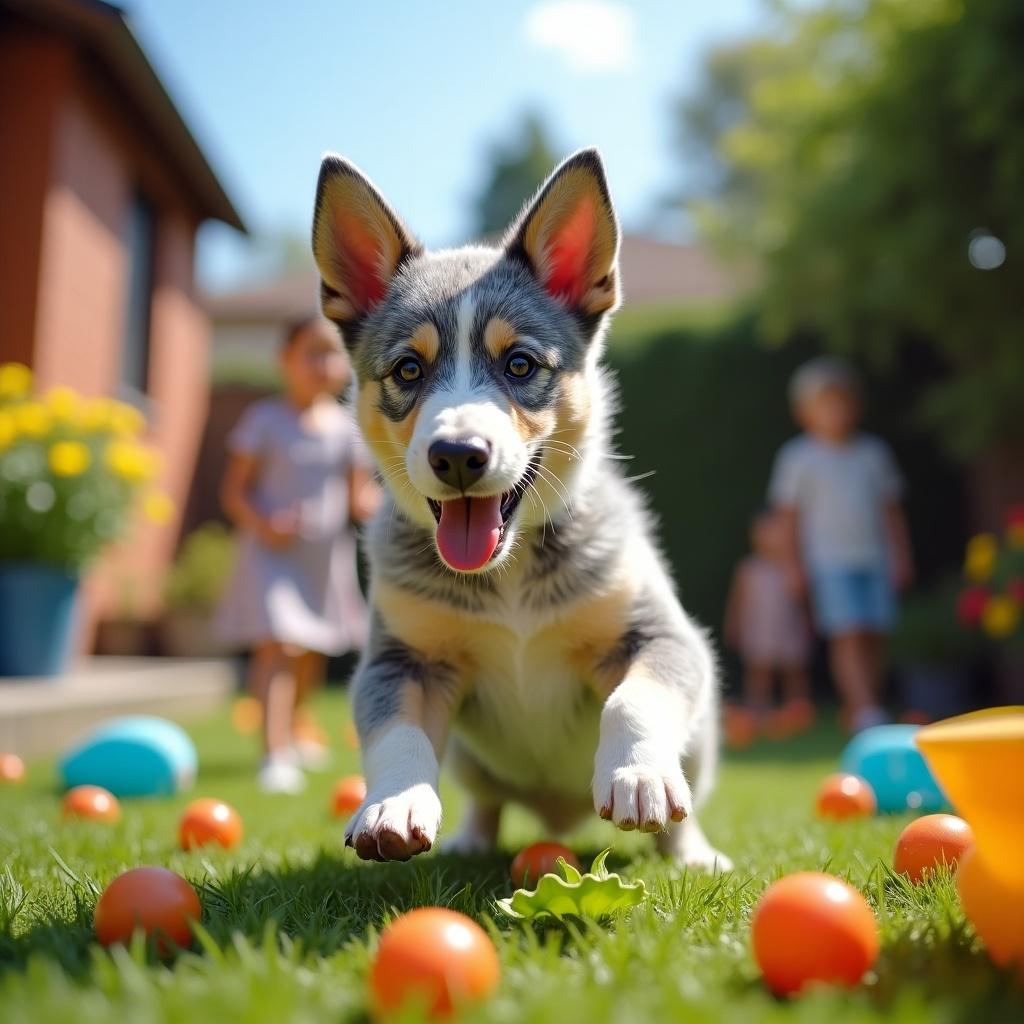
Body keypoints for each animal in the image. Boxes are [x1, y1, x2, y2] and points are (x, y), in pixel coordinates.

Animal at [309, 149, 729, 872]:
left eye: (520, 363)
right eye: (409, 370)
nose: (457, 455)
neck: (508, 577)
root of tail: (556, 812)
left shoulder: (659, 634)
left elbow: (634, 700)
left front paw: (638, 774)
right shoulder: (399, 659)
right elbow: (396, 735)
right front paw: (393, 805)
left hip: (702, 745)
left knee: (685, 806)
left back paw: (691, 851)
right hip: (471, 760)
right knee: (487, 799)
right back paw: (470, 837)